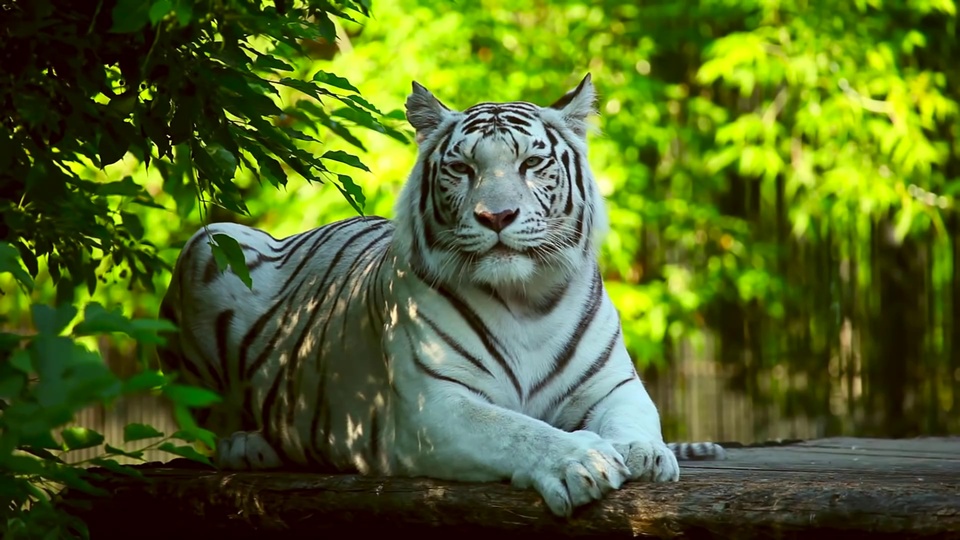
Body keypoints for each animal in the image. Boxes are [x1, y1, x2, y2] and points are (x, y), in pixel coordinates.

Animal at [157, 74, 725, 518]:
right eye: (463, 169)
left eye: (531, 164)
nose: (497, 216)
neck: (528, 300)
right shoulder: (433, 406)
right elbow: (514, 429)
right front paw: (580, 459)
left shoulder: (612, 385)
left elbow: (635, 419)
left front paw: (643, 453)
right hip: (210, 244)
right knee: (209, 424)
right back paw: (246, 445)